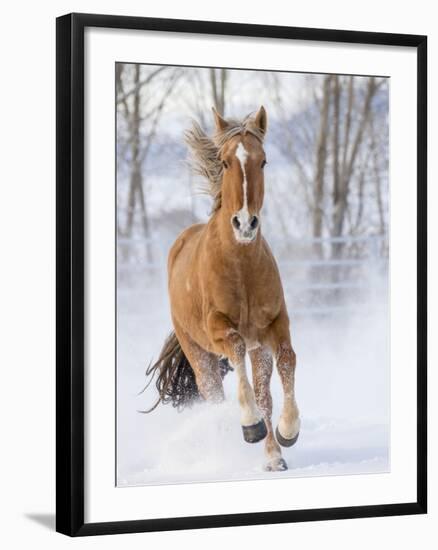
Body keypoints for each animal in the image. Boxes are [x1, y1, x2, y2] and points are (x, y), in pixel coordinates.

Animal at [145, 108, 300, 474]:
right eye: (226, 162)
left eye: (263, 160)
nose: (245, 223)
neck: (240, 266)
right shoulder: (219, 330)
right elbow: (236, 347)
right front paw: (250, 425)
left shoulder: (274, 326)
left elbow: (288, 359)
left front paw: (288, 431)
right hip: (198, 353)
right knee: (213, 395)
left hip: (258, 349)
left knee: (264, 394)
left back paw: (273, 456)